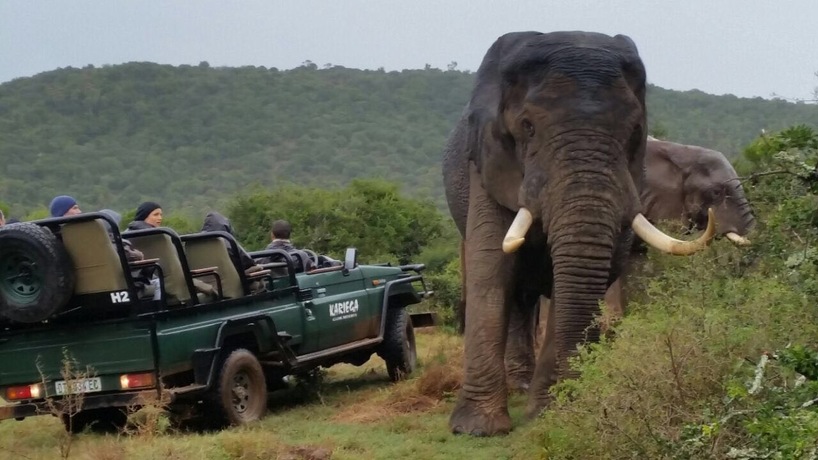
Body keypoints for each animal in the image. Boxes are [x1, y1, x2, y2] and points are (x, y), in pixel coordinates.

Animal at [440, 30, 712, 436]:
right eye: (527, 127)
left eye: (635, 132)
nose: (568, 397)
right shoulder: (487, 163)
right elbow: (491, 269)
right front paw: (477, 430)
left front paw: (550, 414)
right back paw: (519, 385)